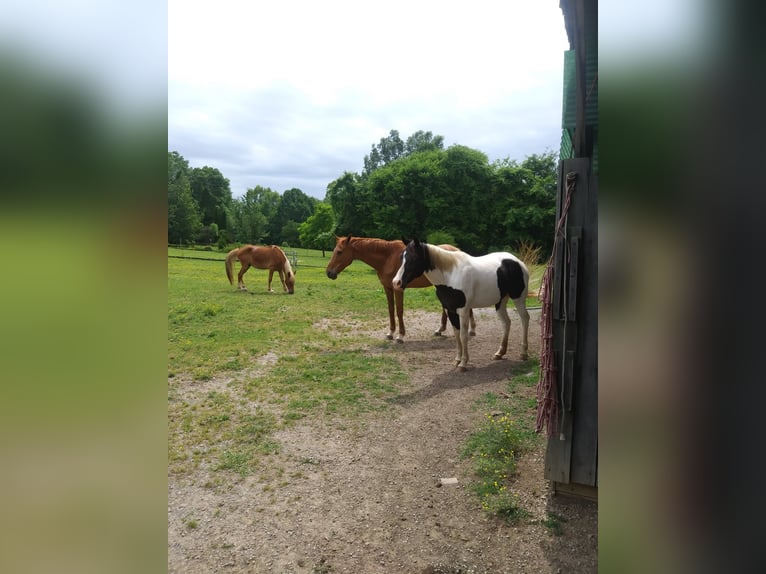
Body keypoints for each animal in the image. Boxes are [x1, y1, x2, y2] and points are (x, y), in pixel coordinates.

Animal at [325, 235, 475, 342]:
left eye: (339, 252)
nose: (329, 273)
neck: (387, 257)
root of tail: (459, 251)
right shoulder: (387, 288)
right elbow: (391, 310)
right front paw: (390, 333)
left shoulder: (398, 289)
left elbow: (399, 311)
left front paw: (400, 335)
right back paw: (441, 329)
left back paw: (470, 330)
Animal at [393, 239, 529, 371]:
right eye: (401, 258)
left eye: (414, 258)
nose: (396, 283)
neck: (450, 276)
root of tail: (517, 262)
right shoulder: (450, 310)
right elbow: (457, 335)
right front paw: (457, 360)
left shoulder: (463, 310)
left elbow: (463, 335)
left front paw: (463, 363)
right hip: (500, 302)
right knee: (506, 323)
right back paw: (500, 353)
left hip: (518, 298)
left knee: (524, 319)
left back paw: (523, 353)